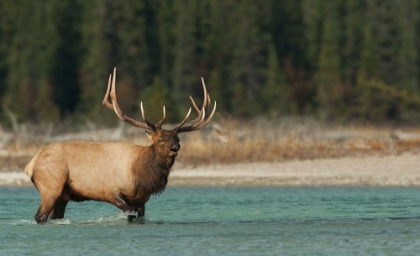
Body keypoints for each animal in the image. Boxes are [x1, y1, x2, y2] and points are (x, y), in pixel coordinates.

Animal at [25, 68, 217, 224]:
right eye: (160, 139)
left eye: (178, 138)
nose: (175, 147)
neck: (141, 177)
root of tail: (31, 164)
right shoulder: (111, 191)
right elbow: (128, 213)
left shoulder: (141, 201)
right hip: (51, 185)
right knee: (40, 215)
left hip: (62, 195)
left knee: (54, 216)